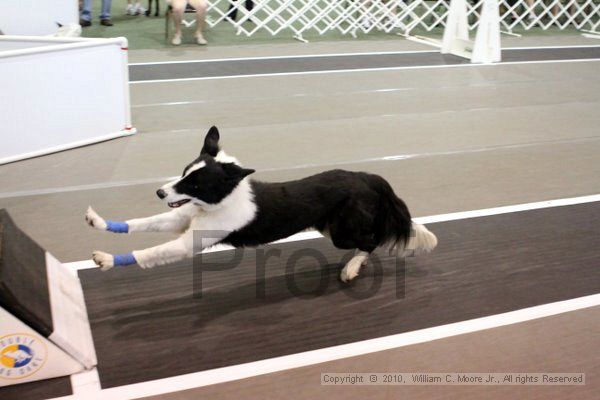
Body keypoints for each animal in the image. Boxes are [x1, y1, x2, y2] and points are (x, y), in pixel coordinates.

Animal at [86, 127, 436, 282]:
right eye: (184, 172)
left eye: (195, 183)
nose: (160, 192)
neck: (220, 200)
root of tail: (368, 176)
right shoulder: (183, 218)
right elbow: (143, 223)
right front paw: (100, 223)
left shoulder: (190, 241)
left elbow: (150, 253)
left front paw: (106, 259)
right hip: (330, 226)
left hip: (342, 231)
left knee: (373, 240)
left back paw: (352, 268)